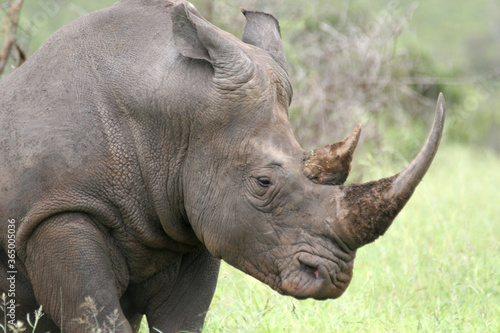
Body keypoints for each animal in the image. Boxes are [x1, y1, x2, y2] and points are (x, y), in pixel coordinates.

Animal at [0, 0, 446, 330]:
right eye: (263, 182)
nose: (332, 277)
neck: (170, 127)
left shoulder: (192, 220)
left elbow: (180, 322)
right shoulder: (56, 212)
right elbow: (97, 318)